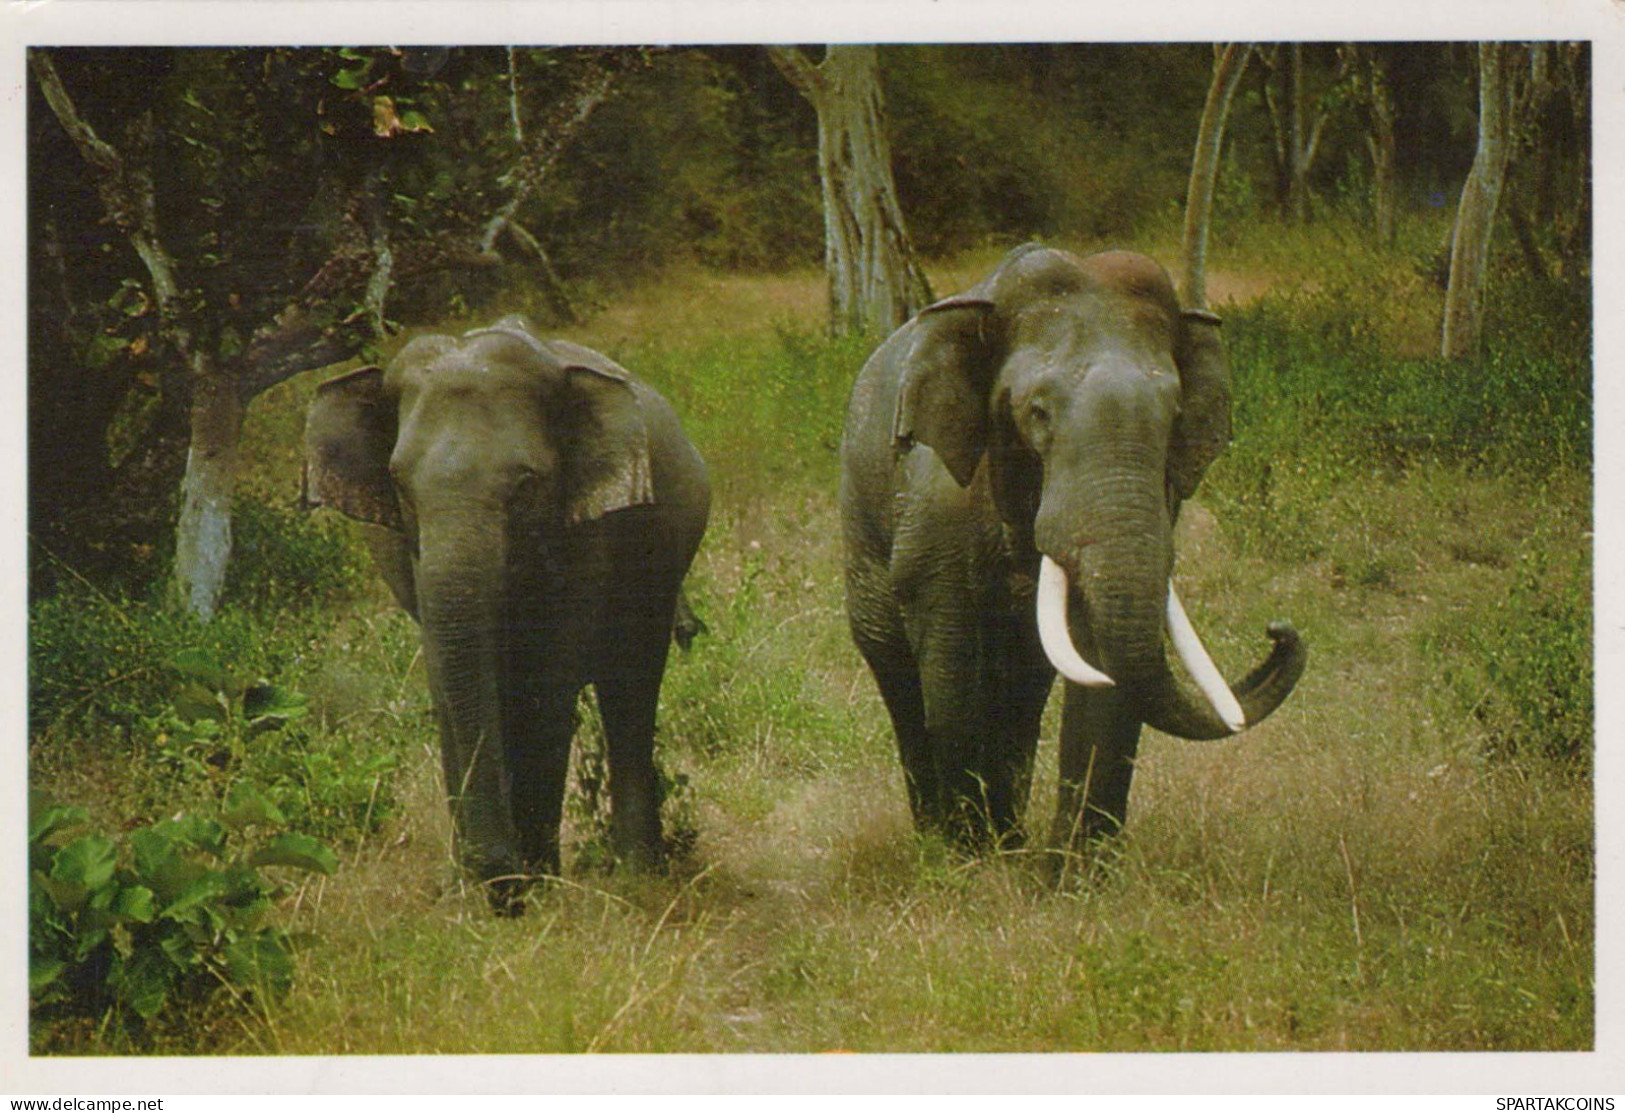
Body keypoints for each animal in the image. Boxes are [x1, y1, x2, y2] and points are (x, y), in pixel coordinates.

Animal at [305, 315, 711, 909]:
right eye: (400, 485)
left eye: (525, 485)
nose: (499, 882)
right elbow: (448, 681)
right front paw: (467, 890)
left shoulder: (588, 529)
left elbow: (549, 683)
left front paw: (534, 885)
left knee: (629, 686)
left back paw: (636, 874)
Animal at [838, 243, 1306, 857]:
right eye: (1037, 412)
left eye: (1176, 416)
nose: (1279, 630)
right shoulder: (934, 504)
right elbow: (952, 662)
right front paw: (968, 862)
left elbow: (1102, 666)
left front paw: (1067, 871)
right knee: (898, 671)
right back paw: (946, 839)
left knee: (1023, 687)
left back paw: (1009, 838)